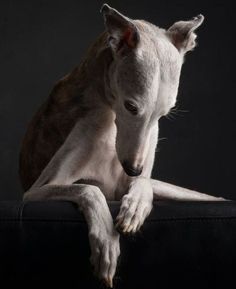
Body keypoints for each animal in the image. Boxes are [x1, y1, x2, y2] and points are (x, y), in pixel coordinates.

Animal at [18, 3, 223, 286]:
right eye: (131, 106)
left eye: (165, 113)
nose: (133, 168)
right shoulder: (35, 191)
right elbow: (89, 189)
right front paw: (106, 240)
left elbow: (144, 184)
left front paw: (135, 206)